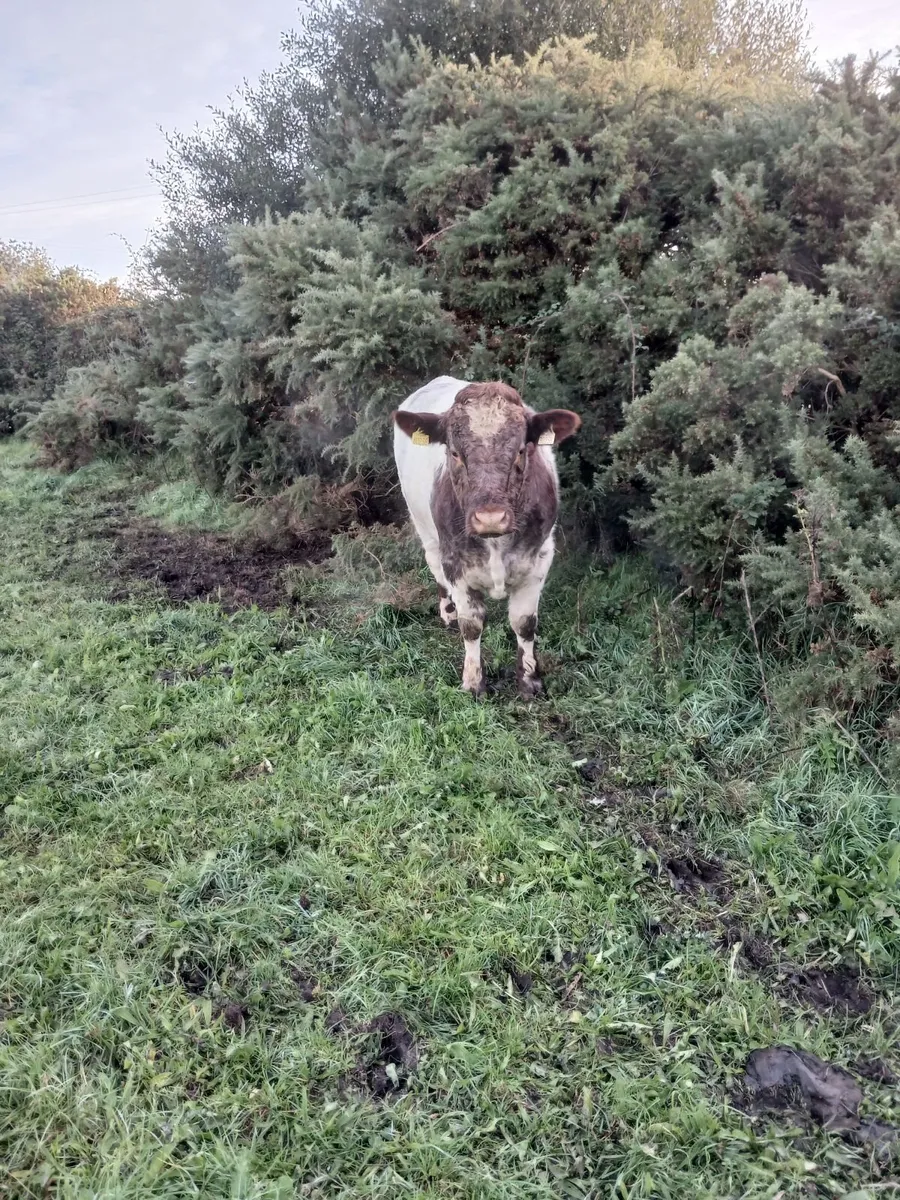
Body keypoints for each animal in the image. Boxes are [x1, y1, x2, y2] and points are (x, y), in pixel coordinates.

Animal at [392, 376, 581, 699]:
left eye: (521, 450)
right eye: (454, 453)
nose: (490, 518)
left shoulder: (539, 559)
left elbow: (524, 623)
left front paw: (530, 680)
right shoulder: (455, 563)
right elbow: (471, 625)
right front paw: (473, 681)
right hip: (424, 527)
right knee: (434, 567)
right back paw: (448, 612)